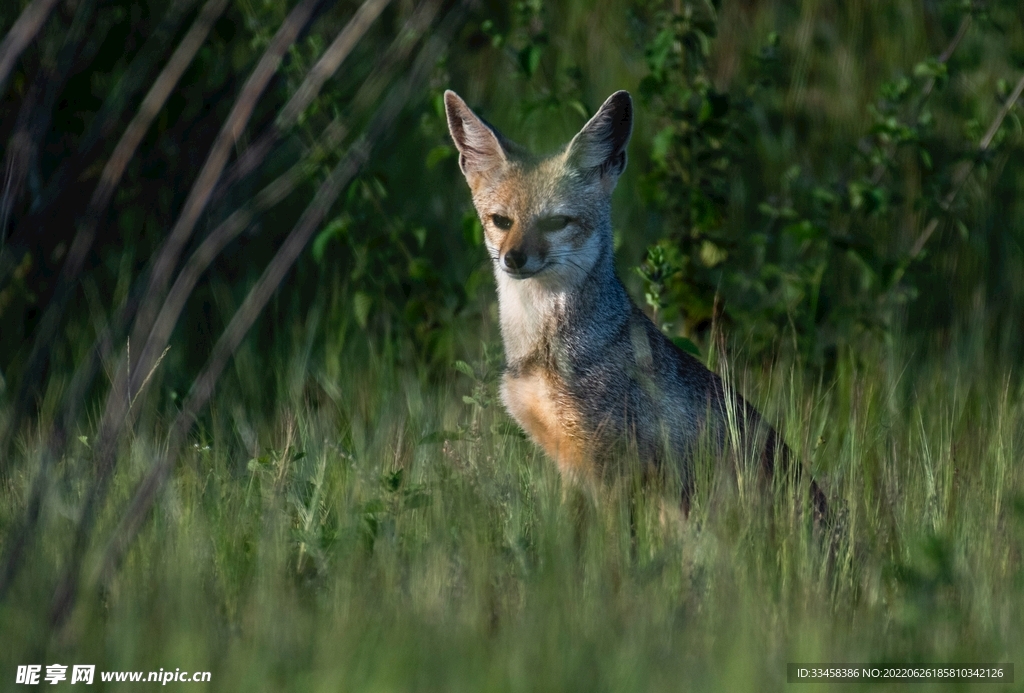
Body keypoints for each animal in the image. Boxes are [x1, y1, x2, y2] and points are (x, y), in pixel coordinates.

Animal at [444, 88, 827, 520]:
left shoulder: (613, 468)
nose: (514, 259)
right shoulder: (570, 465)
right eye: (501, 221)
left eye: (556, 223)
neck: (540, 349)